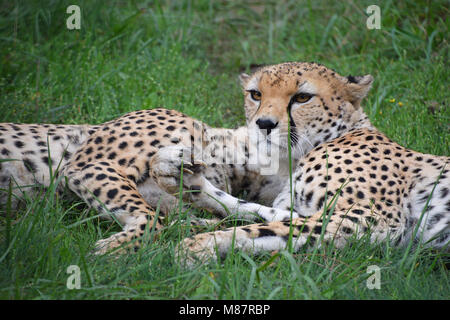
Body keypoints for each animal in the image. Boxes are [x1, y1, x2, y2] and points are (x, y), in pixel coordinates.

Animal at [153, 62, 448, 264]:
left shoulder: (376, 218)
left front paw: (196, 245)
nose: (264, 124)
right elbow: (256, 214)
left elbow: (261, 226)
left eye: (302, 97)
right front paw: (183, 180)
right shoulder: (304, 210)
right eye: (255, 94)